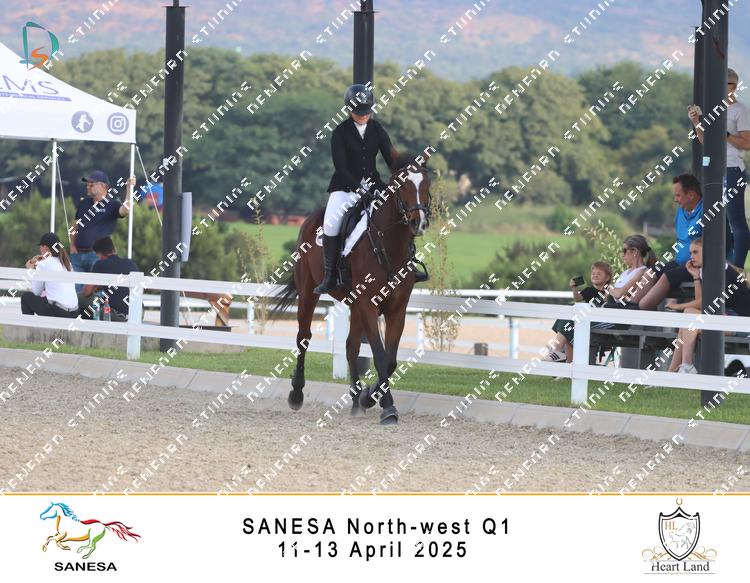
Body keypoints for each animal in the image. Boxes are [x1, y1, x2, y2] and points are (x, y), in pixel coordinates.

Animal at [270, 153, 431, 425]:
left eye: (427, 185)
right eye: (402, 186)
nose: (417, 222)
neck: (389, 245)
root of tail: (311, 219)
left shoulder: (396, 309)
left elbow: (390, 360)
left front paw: (369, 396)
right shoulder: (367, 304)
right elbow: (379, 356)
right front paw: (388, 408)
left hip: (354, 306)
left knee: (350, 346)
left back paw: (357, 400)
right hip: (309, 293)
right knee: (304, 338)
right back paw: (297, 394)